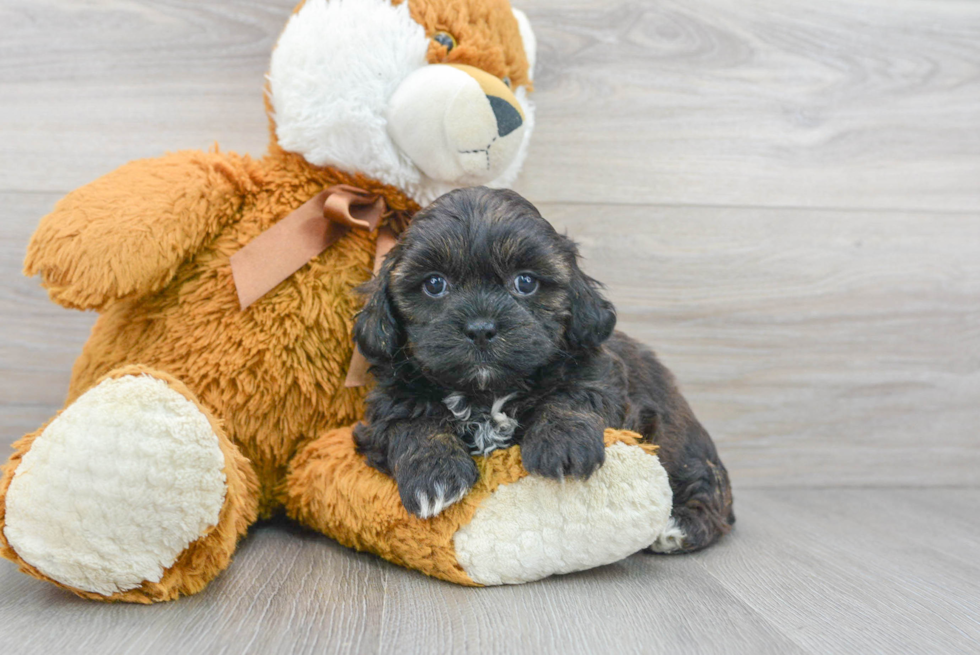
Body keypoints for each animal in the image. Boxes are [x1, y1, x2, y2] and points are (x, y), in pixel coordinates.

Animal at [354, 186, 736, 552]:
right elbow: (410, 424)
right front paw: (433, 473)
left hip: (678, 444)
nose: (480, 328)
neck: (484, 394)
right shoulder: (385, 408)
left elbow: (571, 398)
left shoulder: (600, 377)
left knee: (706, 489)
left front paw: (562, 445)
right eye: (434, 284)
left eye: (525, 282)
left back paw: (678, 528)